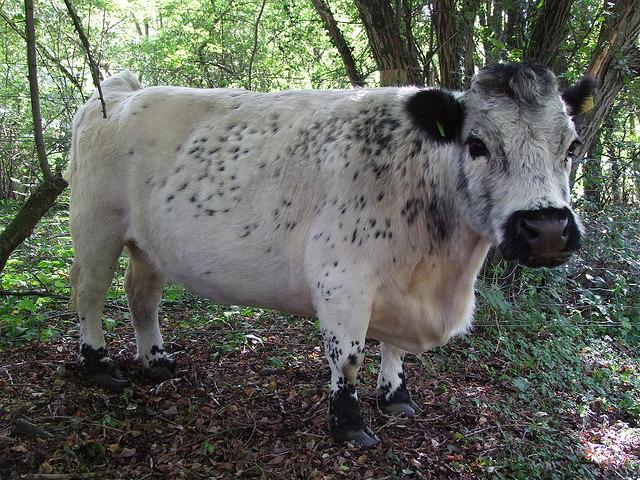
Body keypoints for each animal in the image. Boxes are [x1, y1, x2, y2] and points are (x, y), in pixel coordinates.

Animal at [66, 62, 596, 446]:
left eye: (572, 146)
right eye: (477, 144)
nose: (547, 229)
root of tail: (120, 91)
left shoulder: (397, 289)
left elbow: (393, 348)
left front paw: (396, 395)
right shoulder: (342, 282)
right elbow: (348, 359)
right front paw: (350, 424)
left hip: (149, 244)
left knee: (141, 294)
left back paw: (156, 361)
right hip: (95, 225)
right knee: (89, 291)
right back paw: (98, 365)